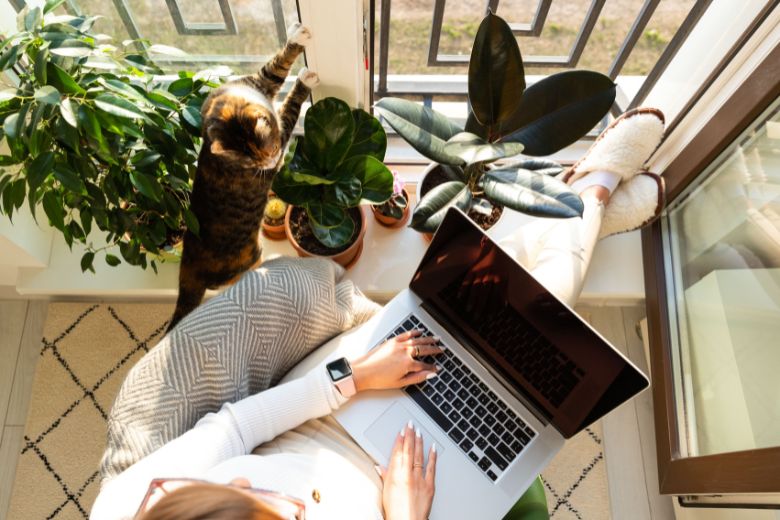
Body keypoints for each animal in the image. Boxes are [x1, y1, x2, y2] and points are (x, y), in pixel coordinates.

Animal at [168, 22, 320, 332]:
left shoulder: (259, 81)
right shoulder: (281, 139)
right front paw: (305, 81)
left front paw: (297, 38)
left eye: (268, 150)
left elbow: (277, 65)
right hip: (249, 255)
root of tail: (187, 270)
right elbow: (289, 109)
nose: (272, 161)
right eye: (255, 159)